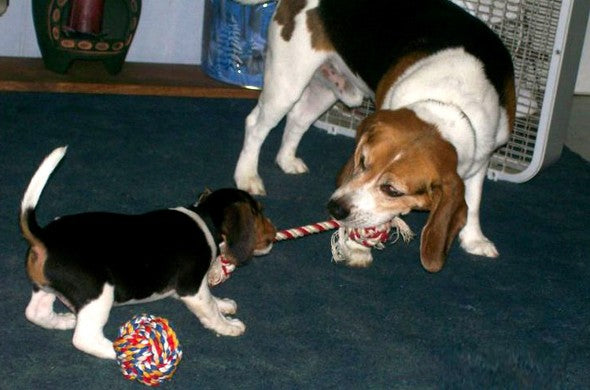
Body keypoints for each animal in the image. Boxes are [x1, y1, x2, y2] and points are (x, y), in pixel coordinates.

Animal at [19, 147, 278, 360]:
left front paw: (224, 304)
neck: (204, 220)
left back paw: (62, 320)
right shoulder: (192, 289)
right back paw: (120, 351)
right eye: (260, 211)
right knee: (84, 338)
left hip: (46, 287)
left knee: (35, 313)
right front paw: (228, 325)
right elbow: (210, 310)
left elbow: (212, 300)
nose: (275, 233)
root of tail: (43, 236)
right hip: (99, 293)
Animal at [236, 0, 520, 272]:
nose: (335, 209)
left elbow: (473, 201)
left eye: (392, 190)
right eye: (362, 161)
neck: (447, 102)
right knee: (255, 124)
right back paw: (247, 176)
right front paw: (358, 249)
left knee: (297, 119)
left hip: (326, 90)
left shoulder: (482, 157)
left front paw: (474, 240)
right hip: (287, 82)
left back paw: (287, 160)